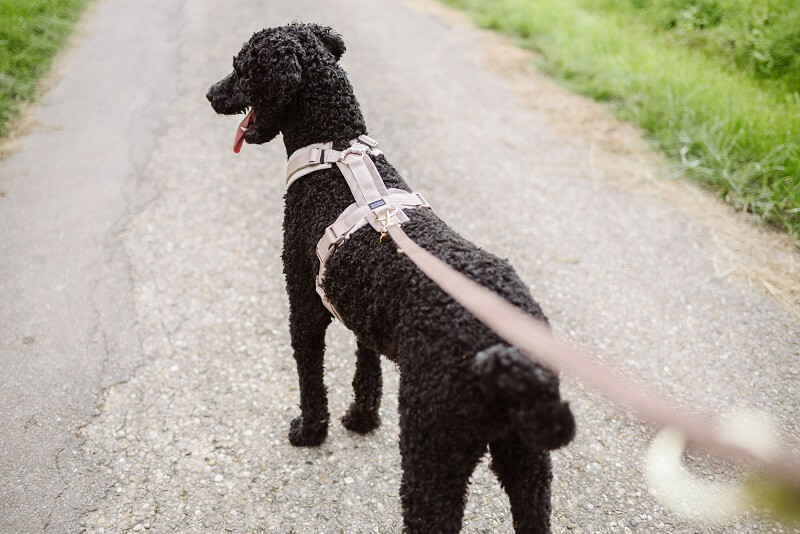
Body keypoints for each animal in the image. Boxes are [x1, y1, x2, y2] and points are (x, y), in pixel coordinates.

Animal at [208, 23, 576, 532]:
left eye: (242, 68)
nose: (209, 94)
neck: (334, 149)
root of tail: (510, 346)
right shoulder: (365, 309)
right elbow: (367, 368)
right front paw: (361, 419)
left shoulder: (304, 303)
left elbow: (311, 376)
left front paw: (310, 430)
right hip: (526, 459)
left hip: (433, 444)